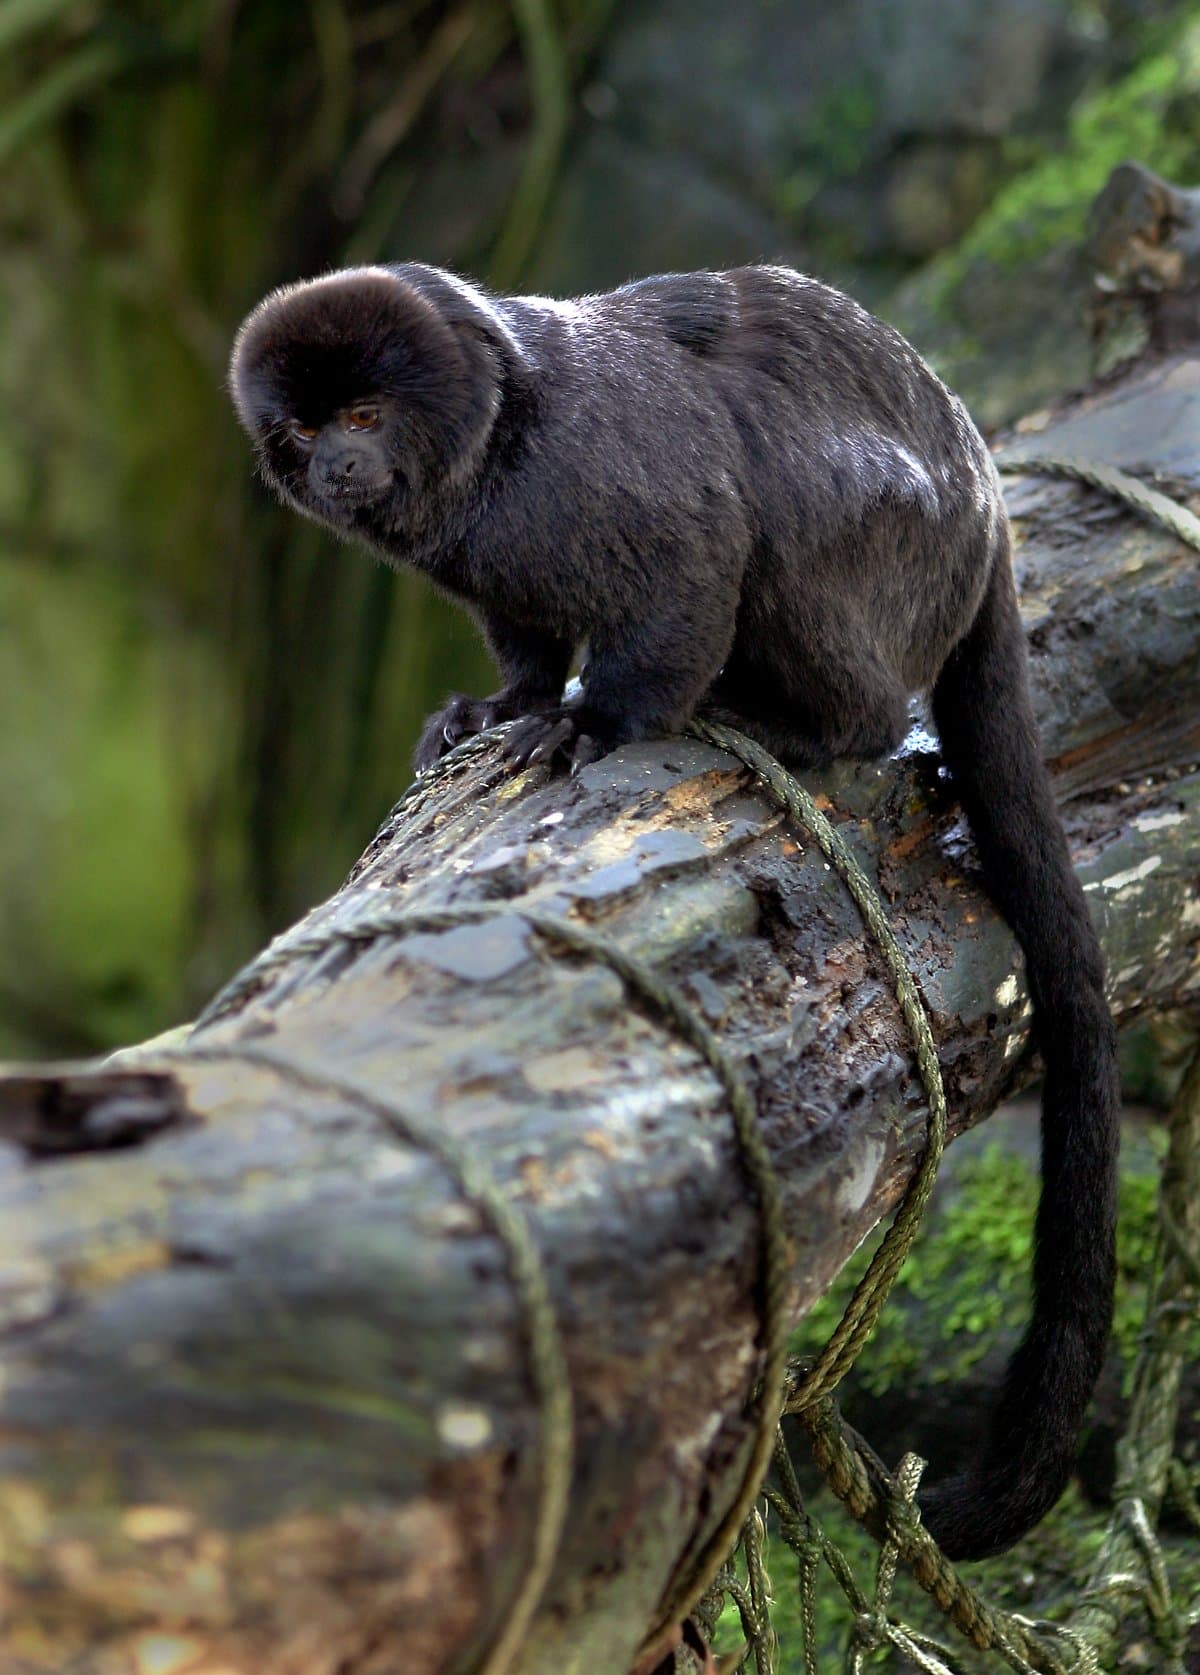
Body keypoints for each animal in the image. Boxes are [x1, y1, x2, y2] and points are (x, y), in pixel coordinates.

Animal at [229, 260, 1119, 1561]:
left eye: (361, 416)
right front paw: (507, 702)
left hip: (898, 555)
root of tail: (987, 504)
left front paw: (594, 722)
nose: (337, 467)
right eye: (301, 430)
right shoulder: (491, 557)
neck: (500, 451)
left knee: (796, 546)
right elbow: (527, 635)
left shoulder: (606, 472)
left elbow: (696, 566)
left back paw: (809, 720)